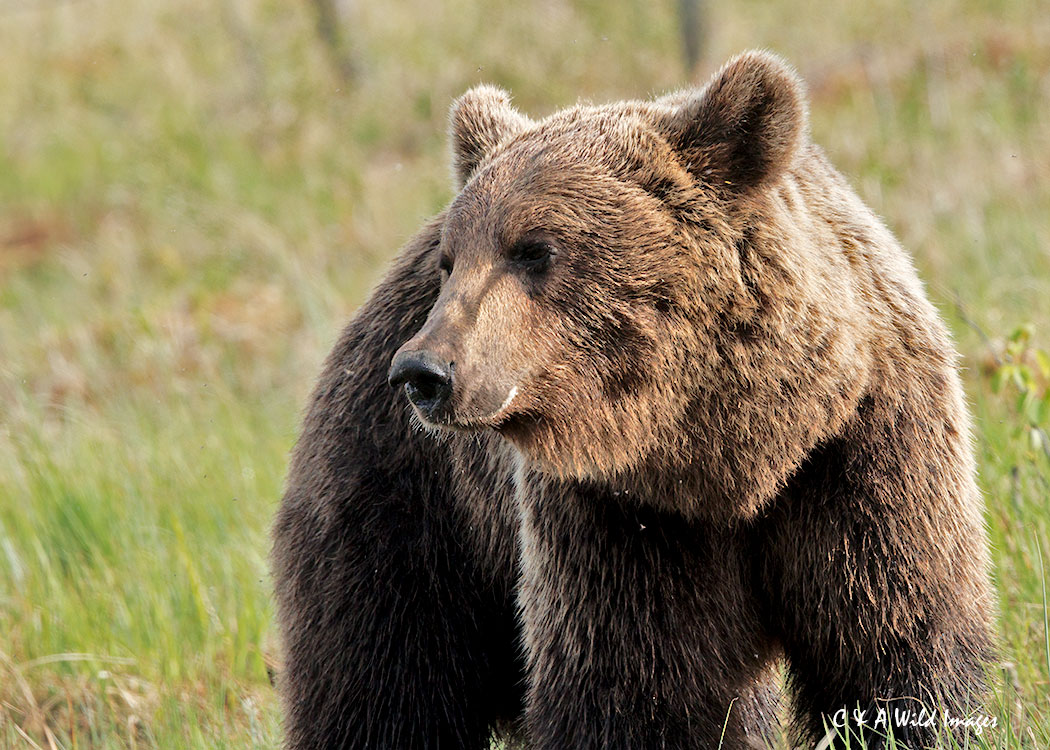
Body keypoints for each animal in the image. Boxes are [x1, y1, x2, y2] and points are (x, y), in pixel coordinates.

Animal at [272, 50, 996, 749]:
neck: (735, 458)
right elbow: (641, 684)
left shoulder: (859, 454)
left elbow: (893, 641)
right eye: (452, 262)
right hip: (408, 504)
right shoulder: (618, 517)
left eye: (533, 250)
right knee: (383, 673)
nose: (423, 371)